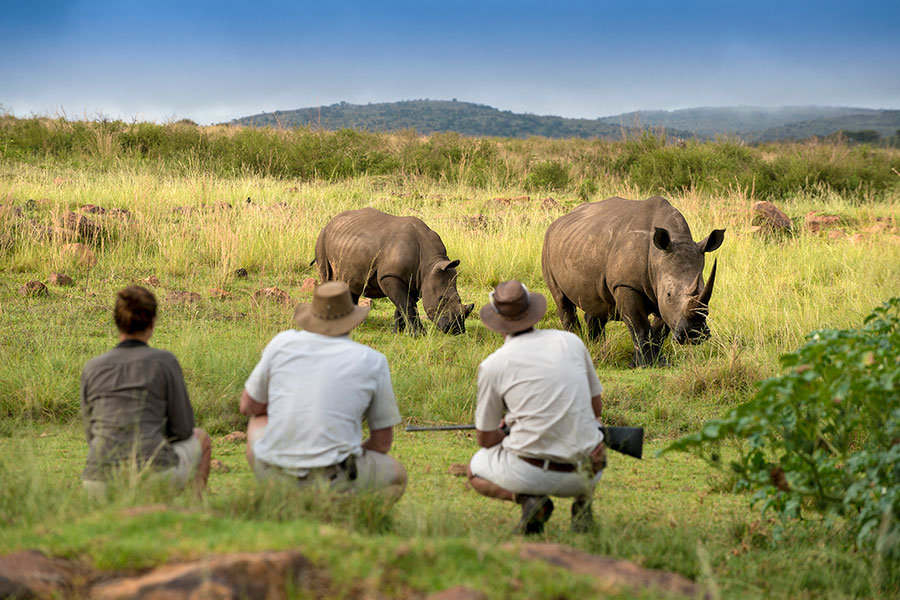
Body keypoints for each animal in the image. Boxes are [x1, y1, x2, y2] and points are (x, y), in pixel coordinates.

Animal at [312, 209, 474, 336]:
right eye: (441, 299)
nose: (456, 330)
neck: (429, 264)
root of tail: (330, 222)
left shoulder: (415, 281)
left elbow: (403, 306)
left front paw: (399, 333)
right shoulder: (390, 276)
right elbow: (407, 305)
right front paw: (419, 335)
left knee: (353, 286)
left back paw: (352, 325)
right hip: (321, 238)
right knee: (327, 278)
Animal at [540, 197, 724, 366]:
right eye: (669, 294)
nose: (694, 334)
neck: (657, 257)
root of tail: (557, 222)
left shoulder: (659, 290)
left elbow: (659, 330)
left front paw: (656, 362)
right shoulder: (626, 285)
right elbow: (639, 325)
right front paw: (644, 365)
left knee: (596, 303)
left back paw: (596, 347)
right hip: (547, 246)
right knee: (562, 300)